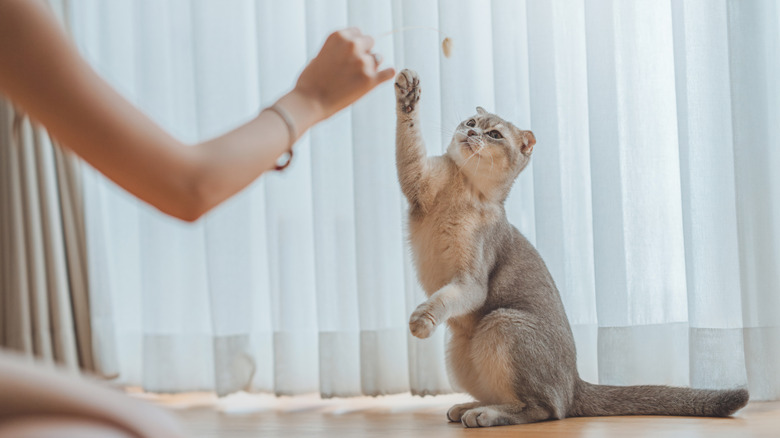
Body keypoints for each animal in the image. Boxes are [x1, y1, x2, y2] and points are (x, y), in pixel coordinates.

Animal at [396, 69, 748, 428]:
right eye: (471, 121)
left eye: (493, 134)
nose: (470, 132)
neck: (464, 189)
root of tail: (575, 381)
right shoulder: (418, 181)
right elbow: (408, 141)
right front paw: (407, 93)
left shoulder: (471, 282)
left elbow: (441, 300)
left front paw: (421, 320)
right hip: (459, 350)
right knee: (520, 398)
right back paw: (468, 406)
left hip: (502, 322)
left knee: (546, 409)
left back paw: (484, 414)